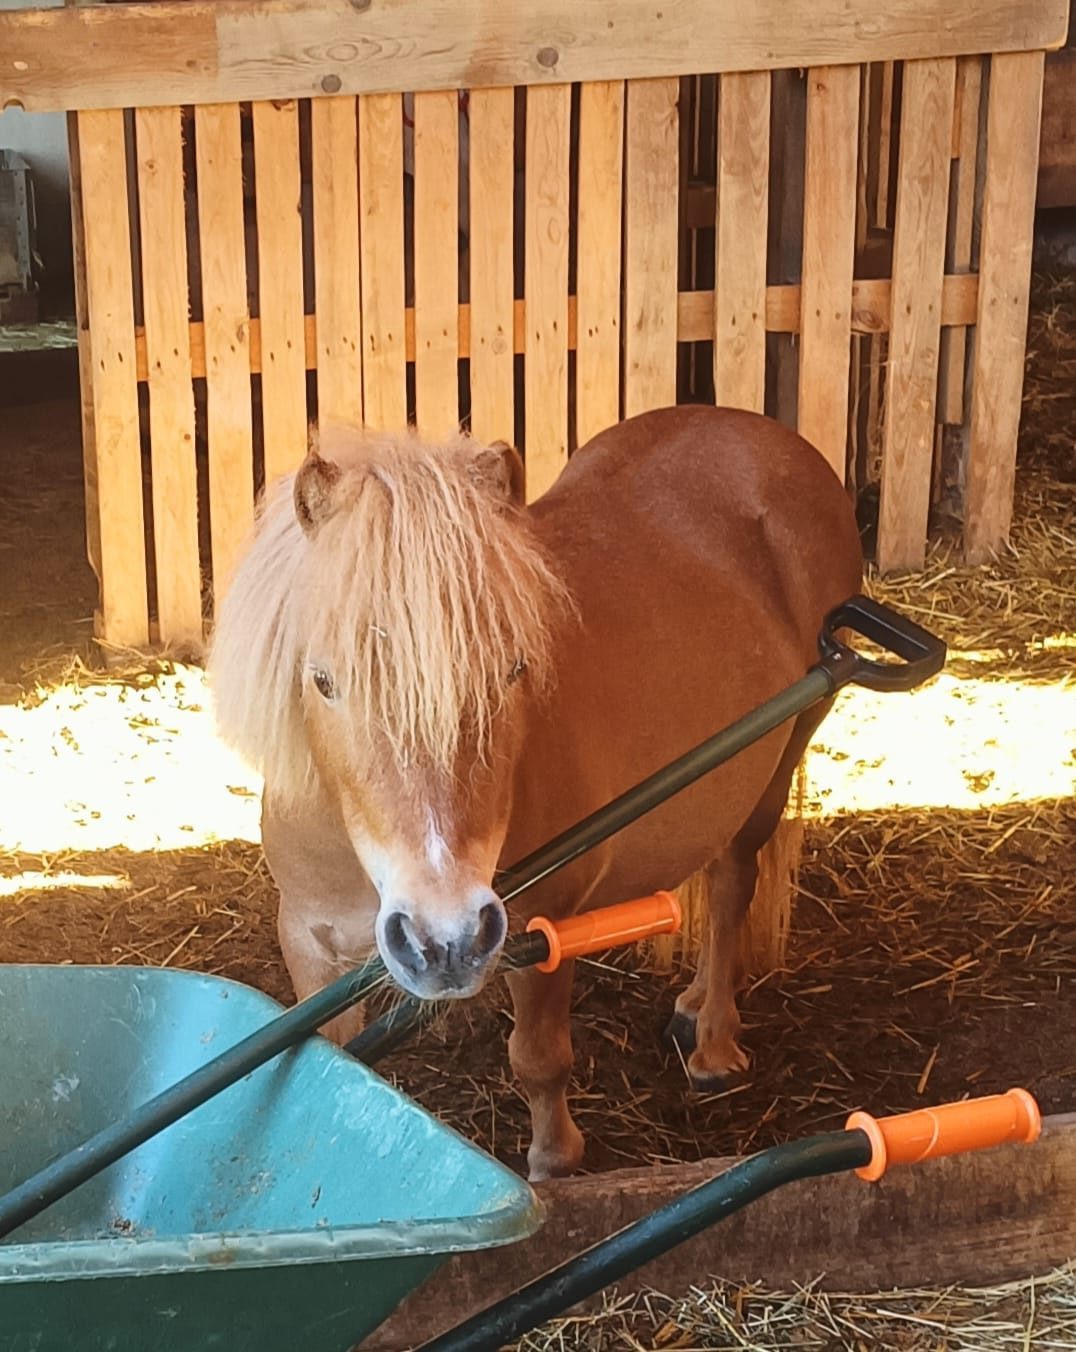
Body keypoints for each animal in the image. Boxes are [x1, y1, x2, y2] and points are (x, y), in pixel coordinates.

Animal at [208, 405, 863, 1181]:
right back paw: (694, 1002)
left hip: (783, 752)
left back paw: (713, 1042)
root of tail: (766, 434)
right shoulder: (308, 940)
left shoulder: (541, 930)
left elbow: (539, 1060)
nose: (445, 939)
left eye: (513, 669)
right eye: (322, 680)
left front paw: (554, 1163)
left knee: (733, 885)